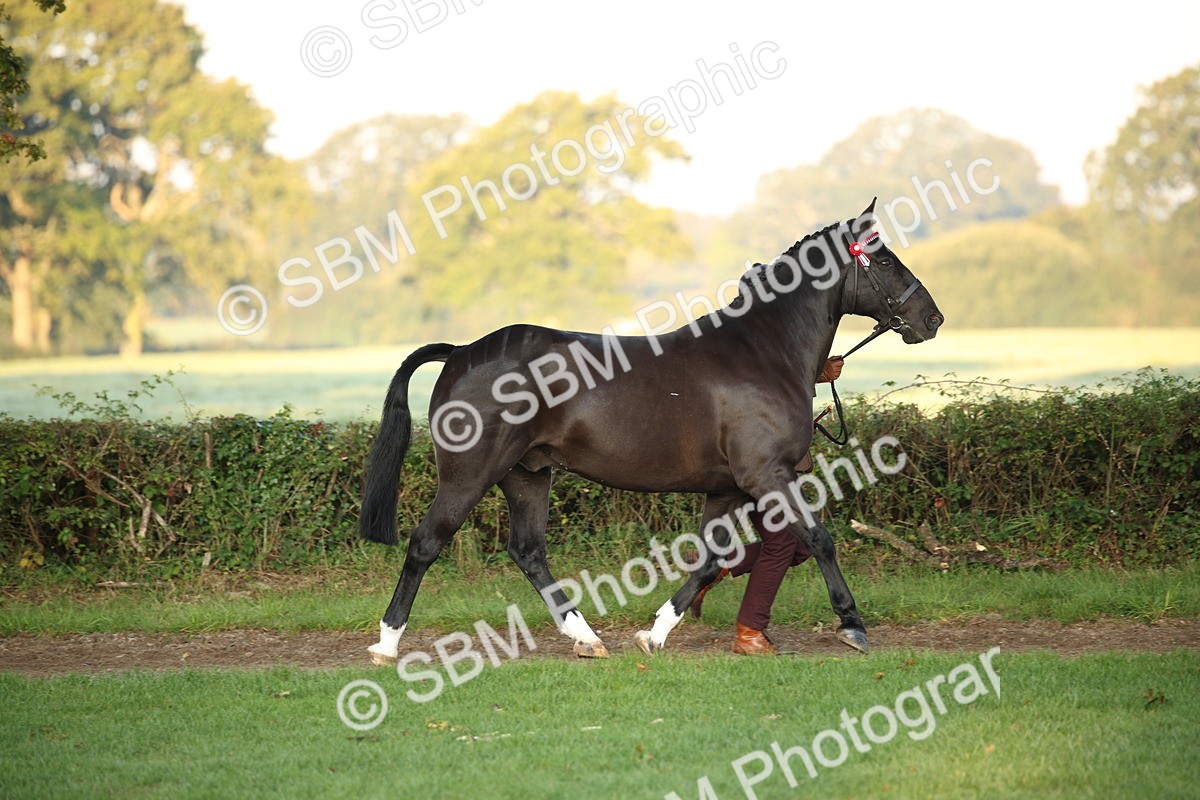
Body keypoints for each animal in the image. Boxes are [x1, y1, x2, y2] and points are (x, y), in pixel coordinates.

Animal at [359, 199, 943, 664]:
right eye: (884, 259)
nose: (932, 318)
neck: (762, 351)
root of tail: (461, 352)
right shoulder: (767, 476)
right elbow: (819, 539)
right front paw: (852, 625)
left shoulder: (726, 489)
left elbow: (710, 560)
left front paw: (655, 633)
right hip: (471, 474)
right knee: (426, 542)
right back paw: (387, 644)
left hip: (527, 474)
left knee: (528, 552)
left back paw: (587, 637)